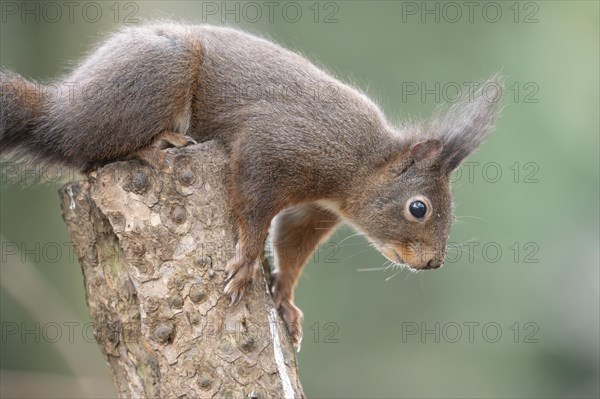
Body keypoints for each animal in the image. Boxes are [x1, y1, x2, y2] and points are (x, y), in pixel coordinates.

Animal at [0, 24, 502, 350]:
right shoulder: (274, 146)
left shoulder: (315, 210)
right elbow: (255, 206)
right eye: (419, 208)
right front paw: (246, 257)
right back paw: (154, 143)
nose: (433, 262)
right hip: (155, 76)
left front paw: (285, 297)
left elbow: (292, 242)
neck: (360, 164)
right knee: (89, 150)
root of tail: (60, 107)